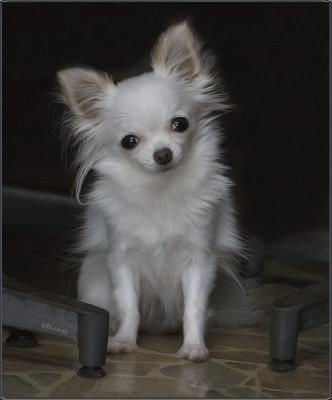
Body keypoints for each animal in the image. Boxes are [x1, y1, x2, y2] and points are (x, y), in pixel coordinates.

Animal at [57, 21, 244, 362]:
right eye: (129, 141)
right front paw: (123, 341)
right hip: (94, 278)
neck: (160, 191)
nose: (163, 154)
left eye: (180, 124)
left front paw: (194, 346)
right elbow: (129, 305)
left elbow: (193, 309)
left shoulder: (199, 260)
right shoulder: (121, 261)